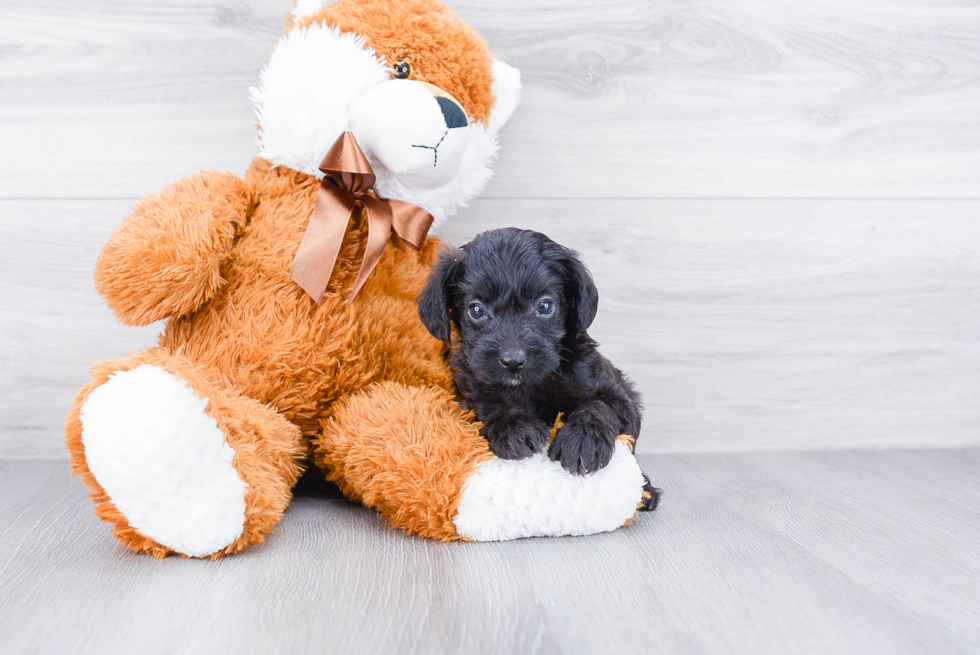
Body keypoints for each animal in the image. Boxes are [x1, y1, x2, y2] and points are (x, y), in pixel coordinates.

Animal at [420, 228, 660, 510]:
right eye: (476, 310)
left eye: (545, 306)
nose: (512, 360)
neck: (531, 384)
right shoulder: (472, 398)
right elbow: (494, 407)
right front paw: (514, 428)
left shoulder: (620, 399)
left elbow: (600, 405)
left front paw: (581, 442)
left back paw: (645, 491)